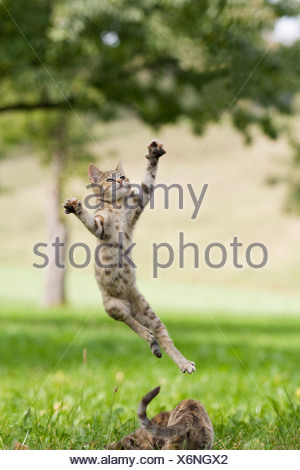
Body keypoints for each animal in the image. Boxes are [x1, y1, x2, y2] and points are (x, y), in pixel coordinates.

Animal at [63, 140, 196, 374]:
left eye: (123, 176)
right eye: (109, 179)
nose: (121, 181)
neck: (116, 206)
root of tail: (130, 304)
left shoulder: (140, 201)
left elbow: (148, 180)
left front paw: (153, 156)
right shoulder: (100, 228)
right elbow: (89, 218)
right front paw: (76, 206)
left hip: (147, 311)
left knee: (164, 338)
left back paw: (182, 361)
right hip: (113, 306)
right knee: (129, 322)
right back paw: (145, 333)